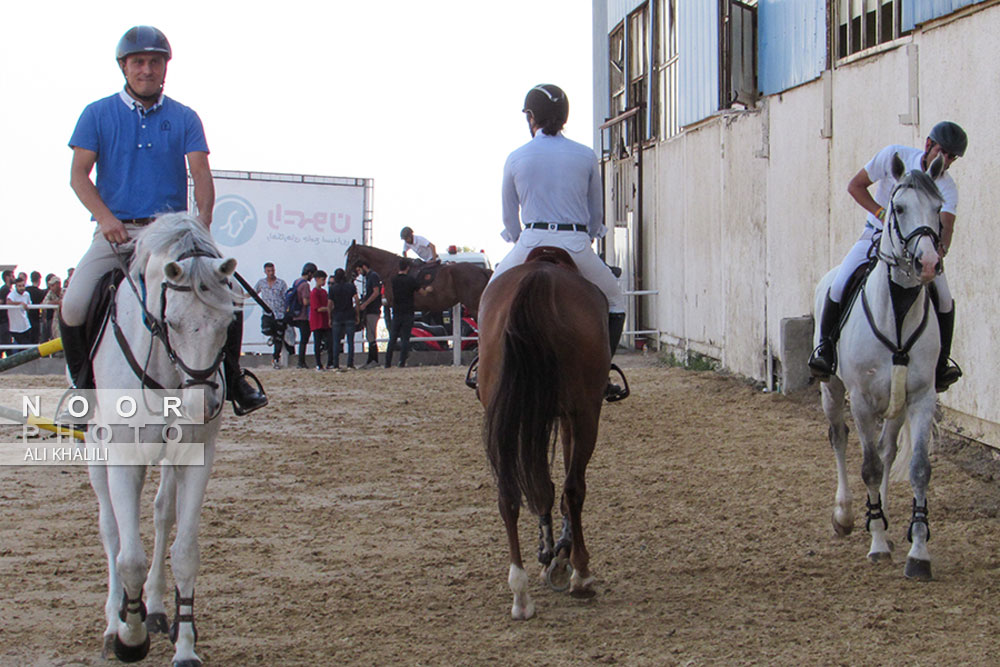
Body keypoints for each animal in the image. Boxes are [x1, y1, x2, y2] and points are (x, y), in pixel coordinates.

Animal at [83, 215, 236, 667]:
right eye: (172, 323)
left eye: (228, 324)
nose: (201, 405)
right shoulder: (123, 457)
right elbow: (128, 556)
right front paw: (129, 639)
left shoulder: (195, 457)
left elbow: (185, 553)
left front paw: (184, 646)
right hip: (94, 448)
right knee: (111, 528)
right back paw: (115, 620)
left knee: (161, 512)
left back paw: (153, 609)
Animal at [476, 248, 608, 620]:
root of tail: (538, 278)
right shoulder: (573, 414)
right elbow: (564, 489)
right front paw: (562, 560)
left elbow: (542, 489)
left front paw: (550, 554)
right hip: (585, 412)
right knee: (574, 488)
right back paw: (581, 574)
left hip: (502, 415)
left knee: (508, 494)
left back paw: (520, 593)